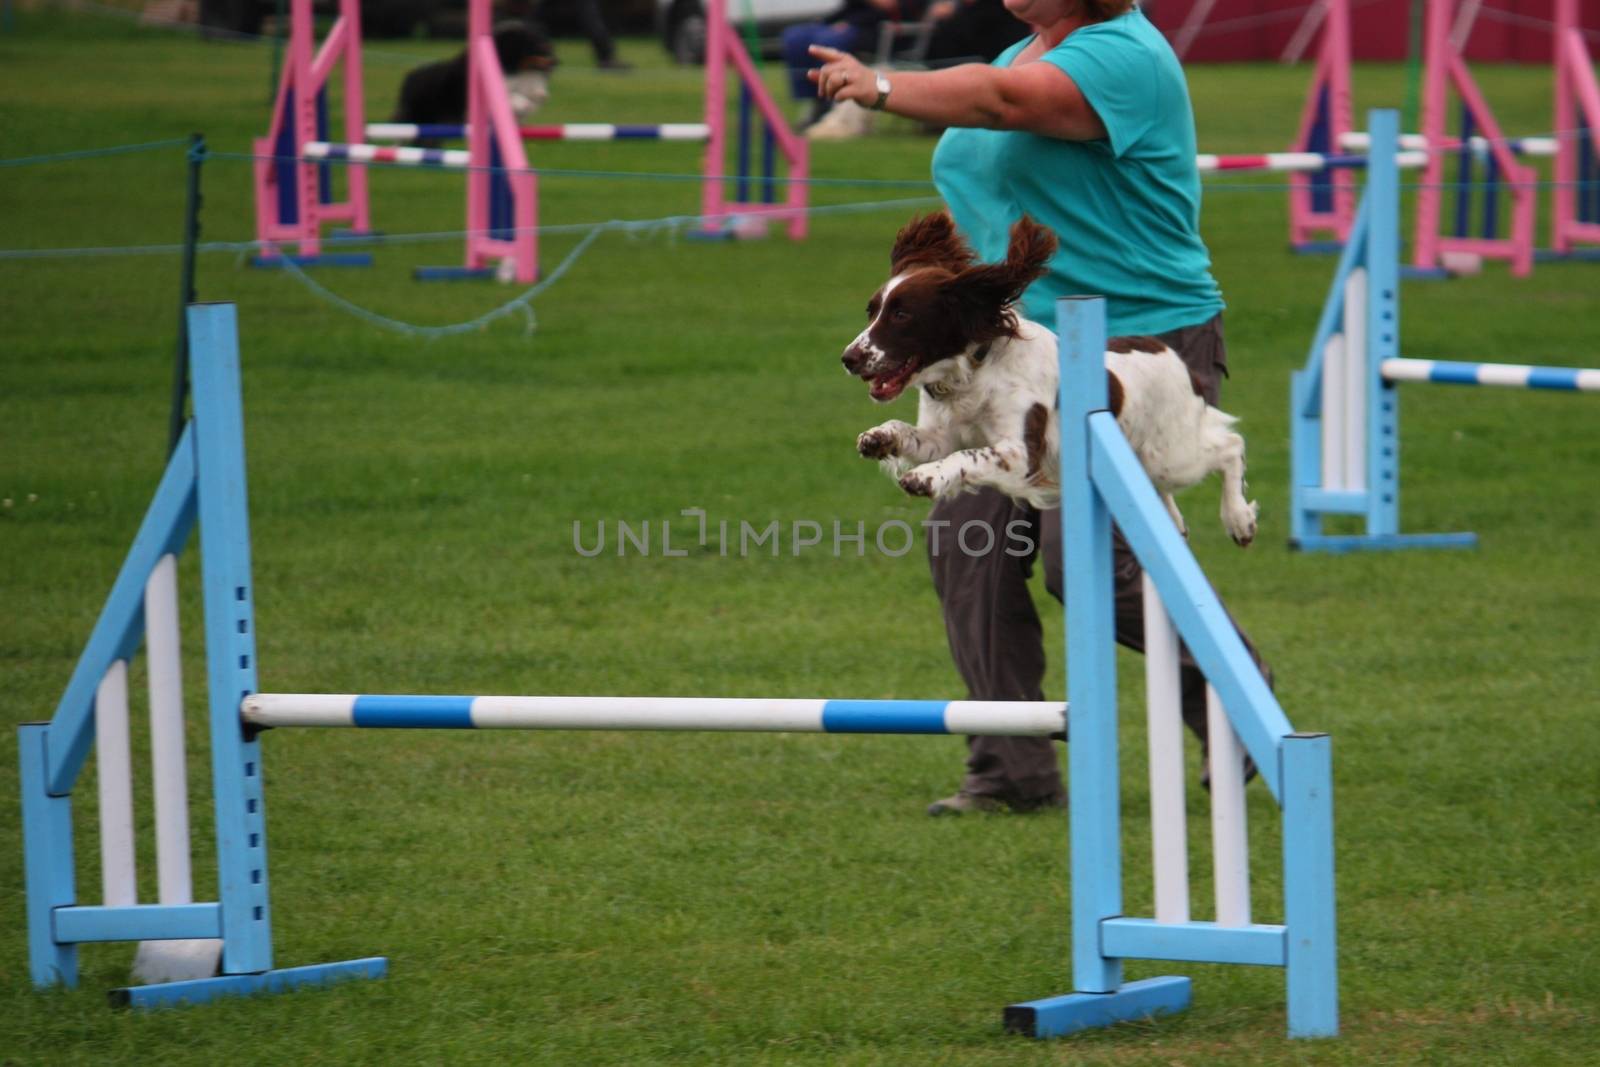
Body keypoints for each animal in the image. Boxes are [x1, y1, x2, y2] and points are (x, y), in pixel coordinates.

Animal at [392, 19, 556, 128]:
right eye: (533, 44)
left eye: (543, 40)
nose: (555, 61)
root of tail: (409, 76)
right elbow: (511, 98)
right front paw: (524, 104)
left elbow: (532, 97)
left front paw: (534, 101)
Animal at [838, 214, 1260, 550]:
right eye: (872, 311)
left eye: (902, 314)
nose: (848, 358)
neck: (974, 370)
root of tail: (1172, 355)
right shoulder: (942, 435)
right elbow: (914, 434)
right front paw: (878, 437)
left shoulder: (1021, 453)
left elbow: (967, 456)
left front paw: (924, 477)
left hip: (1169, 454)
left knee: (1230, 445)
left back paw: (1239, 519)